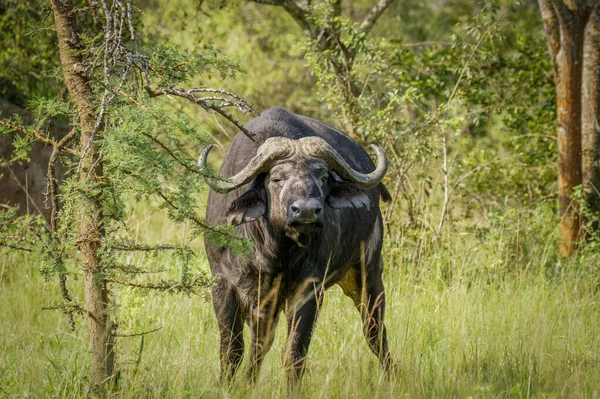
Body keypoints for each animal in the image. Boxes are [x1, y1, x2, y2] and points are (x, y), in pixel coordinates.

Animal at [199, 106, 392, 384]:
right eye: (277, 178)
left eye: (323, 177)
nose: (307, 211)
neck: (273, 252)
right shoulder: (224, 284)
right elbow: (232, 351)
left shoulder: (309, 290)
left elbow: (294, 353)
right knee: (259, 345)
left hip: (370, 273)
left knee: (374, 331)